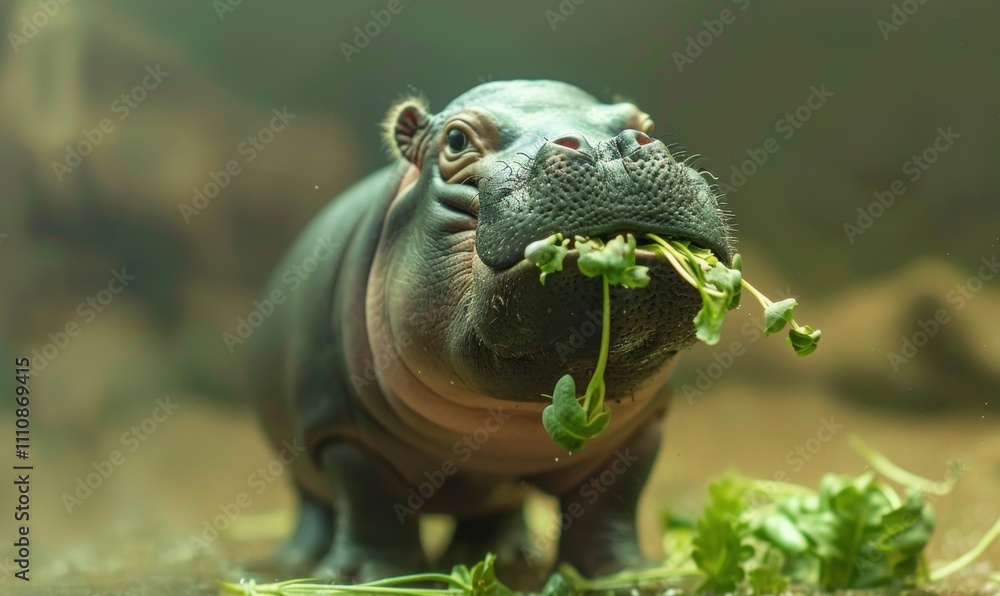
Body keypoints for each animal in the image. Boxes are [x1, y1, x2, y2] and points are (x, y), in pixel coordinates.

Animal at [247, 80, 733, 584]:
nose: (607, 149)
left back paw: (503, 556)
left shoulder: (638, 432)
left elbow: (613, 501)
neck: (510, 417)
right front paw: (365, 579)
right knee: (318, 507)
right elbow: (370, 505)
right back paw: (295, 562)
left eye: (643, 123)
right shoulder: (344, 433)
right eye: (456, 140)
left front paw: (624, 576)